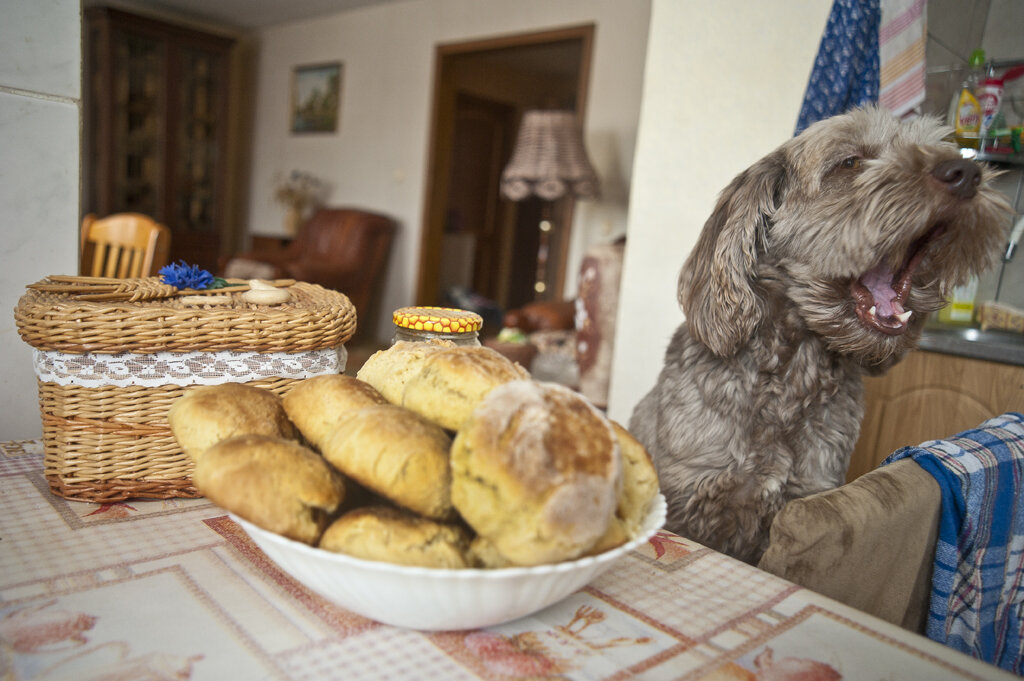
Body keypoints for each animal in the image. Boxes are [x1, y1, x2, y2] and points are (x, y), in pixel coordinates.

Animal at [630, 106, 1007, 561]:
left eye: (940, 146)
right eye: (850, 162)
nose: (967, 172)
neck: (793, 371)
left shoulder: (802, 500)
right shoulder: (690, 496)